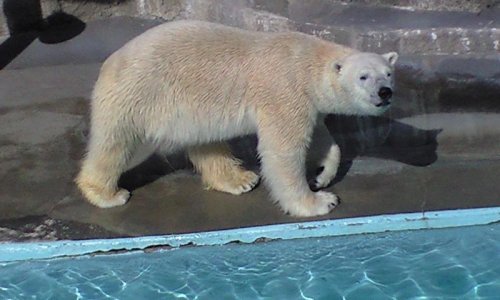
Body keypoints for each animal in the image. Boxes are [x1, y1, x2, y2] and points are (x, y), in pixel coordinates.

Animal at [75, 21, 398, 218]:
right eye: (363, 76)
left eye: (388, 73)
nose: (385, 92)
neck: (305, 60)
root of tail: (110, 62)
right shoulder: (283, 90)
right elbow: (283, 151)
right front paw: (319, 202)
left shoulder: (307, 102)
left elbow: (322, 137)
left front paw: (322, 174)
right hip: (140, 95)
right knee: (116, 145)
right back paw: (107, 194)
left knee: (206, 142)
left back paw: (239, 179)